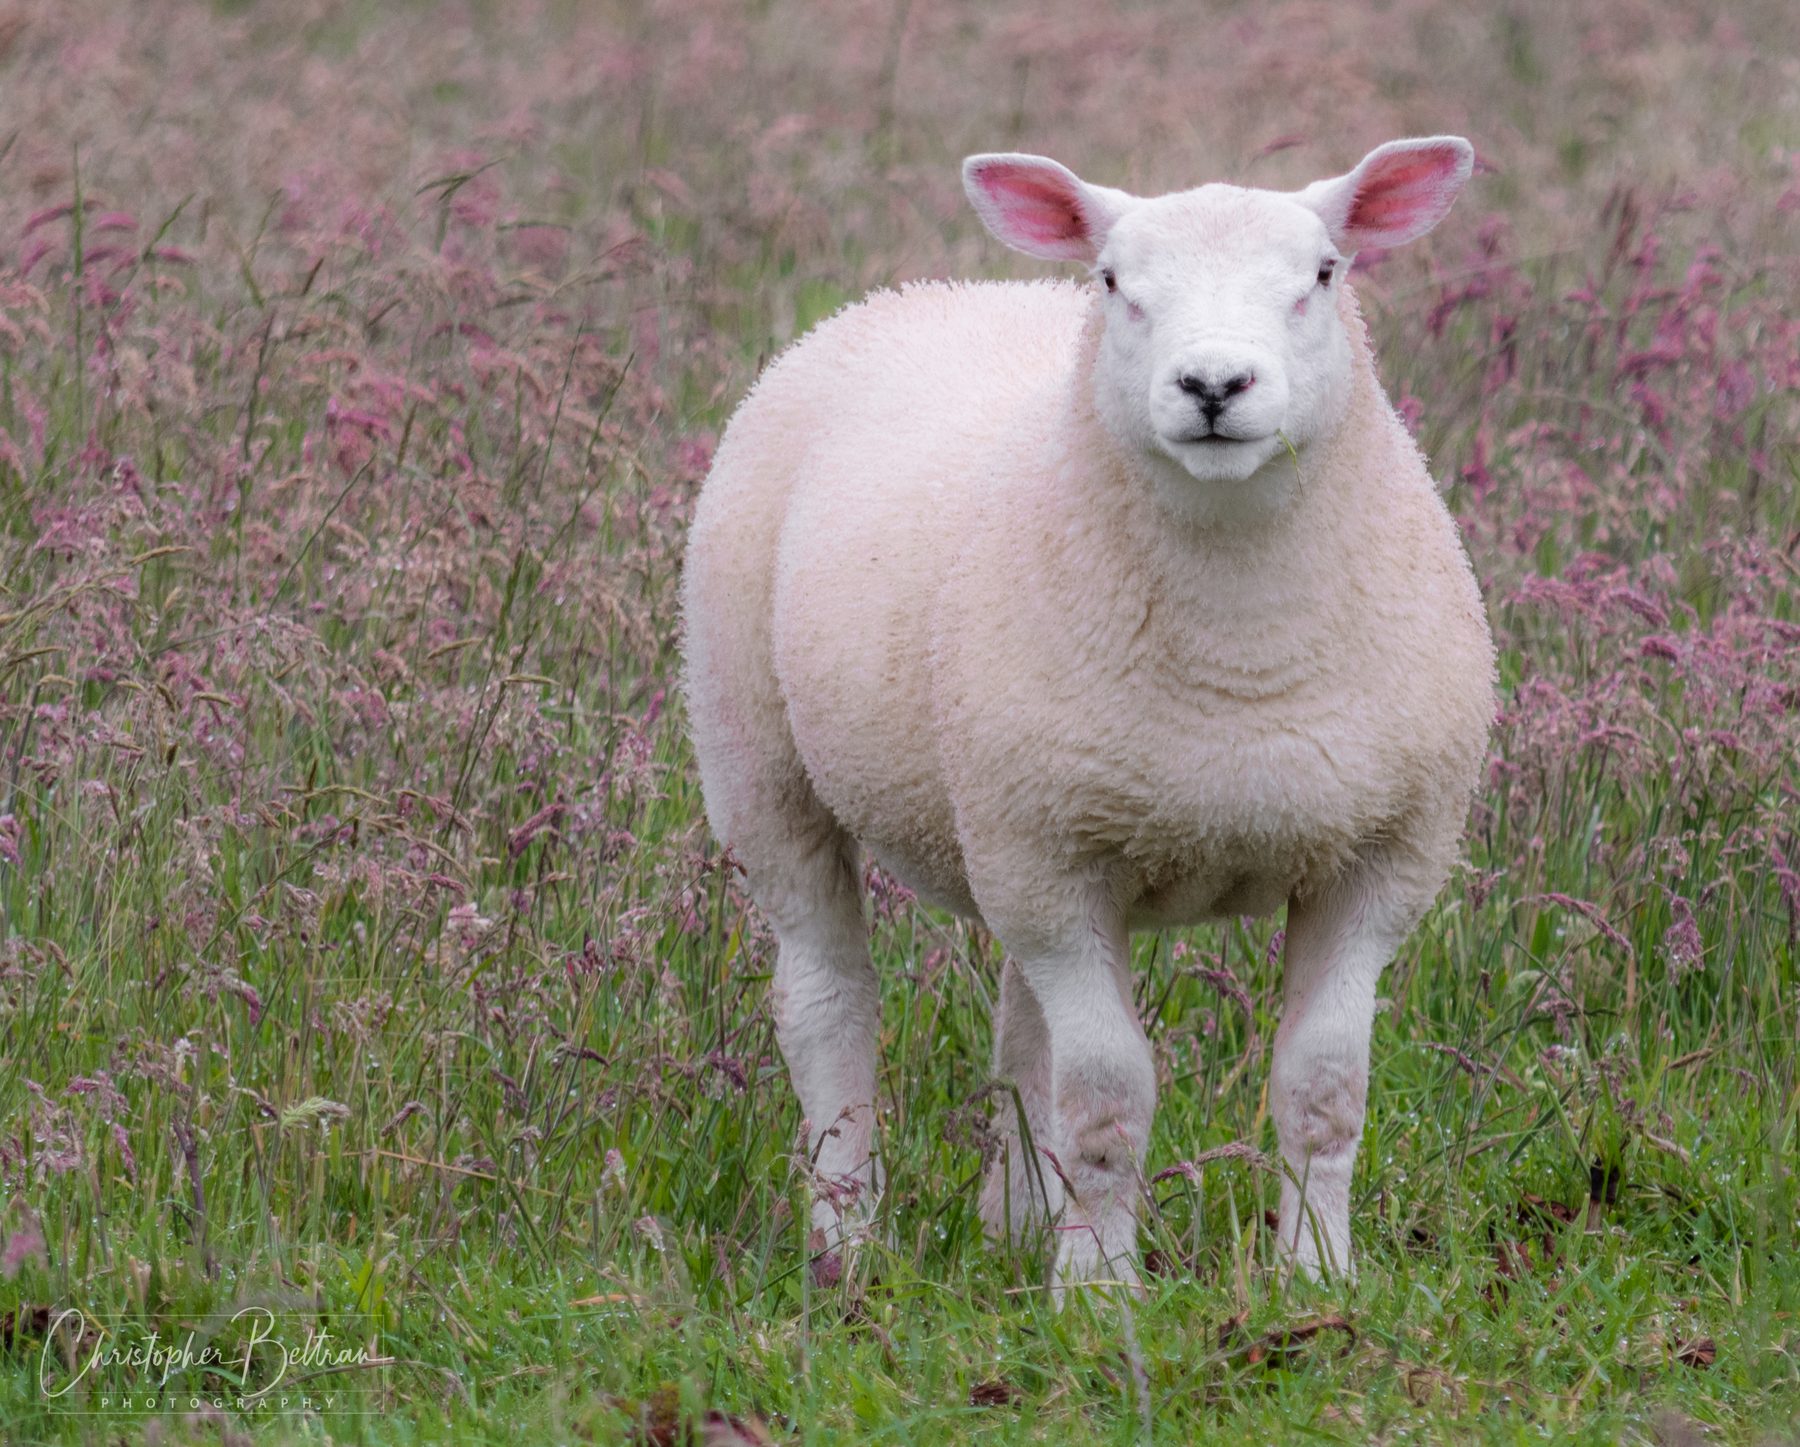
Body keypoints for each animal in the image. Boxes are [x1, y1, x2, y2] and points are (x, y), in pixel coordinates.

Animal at [680, 137, 1496, 1293]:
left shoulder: (1382, 860)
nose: (1213, 384)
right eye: (1115, 282)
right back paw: (849, 1244)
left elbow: (1324, 1090)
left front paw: (1318, 1278)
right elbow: (1109, 1098)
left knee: (1024, 1028)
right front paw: (1102, 1292)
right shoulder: (1053, 862)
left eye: (1324, 273)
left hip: (1014, 818)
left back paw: (1016, 1225)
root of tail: (933, 289)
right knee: (829, 1005)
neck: (1243, 658)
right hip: (763, 757)